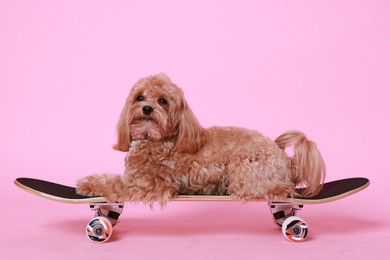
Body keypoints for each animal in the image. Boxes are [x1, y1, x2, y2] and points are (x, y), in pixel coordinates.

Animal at [76, 73, 326, 207]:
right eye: (139, 97)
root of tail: (287, 160)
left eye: (163, 101)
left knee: (279, 190)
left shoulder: (152, 183)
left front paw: (88, 184)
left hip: (244, 168)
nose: (147, 108)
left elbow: (114, 183)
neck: (157, 140)